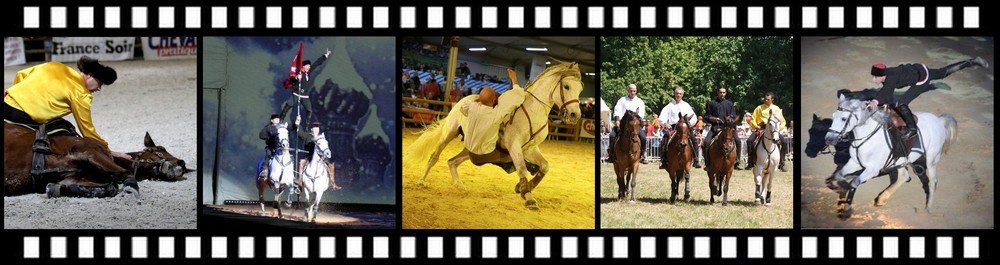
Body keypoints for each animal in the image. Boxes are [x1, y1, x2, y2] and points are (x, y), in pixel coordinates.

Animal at [402, 61, 584, 208]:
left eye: (580, 89)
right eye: (566, 86)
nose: (575, 115)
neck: (532, 112)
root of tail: (462, 101)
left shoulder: (530, 149)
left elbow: (545, 166)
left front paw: (524, 188)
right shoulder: (514, 146)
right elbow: (522, 169)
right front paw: (529, 197)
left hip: (471, 149)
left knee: (452, 161)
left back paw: (459, 185)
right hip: (449, 134)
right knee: (435, 156)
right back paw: (421, 181)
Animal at [824, 95, 956, 212]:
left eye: (843, 119)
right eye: (833, 116)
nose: (829, 139)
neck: (868, 138)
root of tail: (939, 120)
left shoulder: (872, 170)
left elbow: (854, 182)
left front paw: (847, 207)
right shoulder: (855, 162)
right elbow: (839, 174)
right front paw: (841, 185)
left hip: (931, 159)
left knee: (933, 182)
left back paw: (928, 207)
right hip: (901, 159)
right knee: (904, 177)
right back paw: (882, 199)